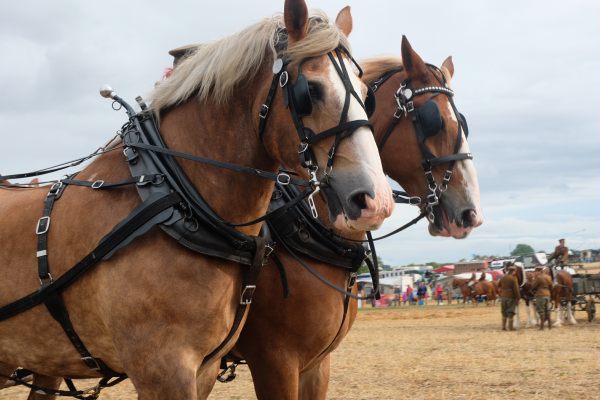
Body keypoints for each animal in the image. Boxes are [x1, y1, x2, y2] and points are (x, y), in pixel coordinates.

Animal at [0, 1, 394, 398]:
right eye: (309, 91)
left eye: (367, 94)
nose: (375, 199)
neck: (173, 197)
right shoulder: (175, 370)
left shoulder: (215, 367)